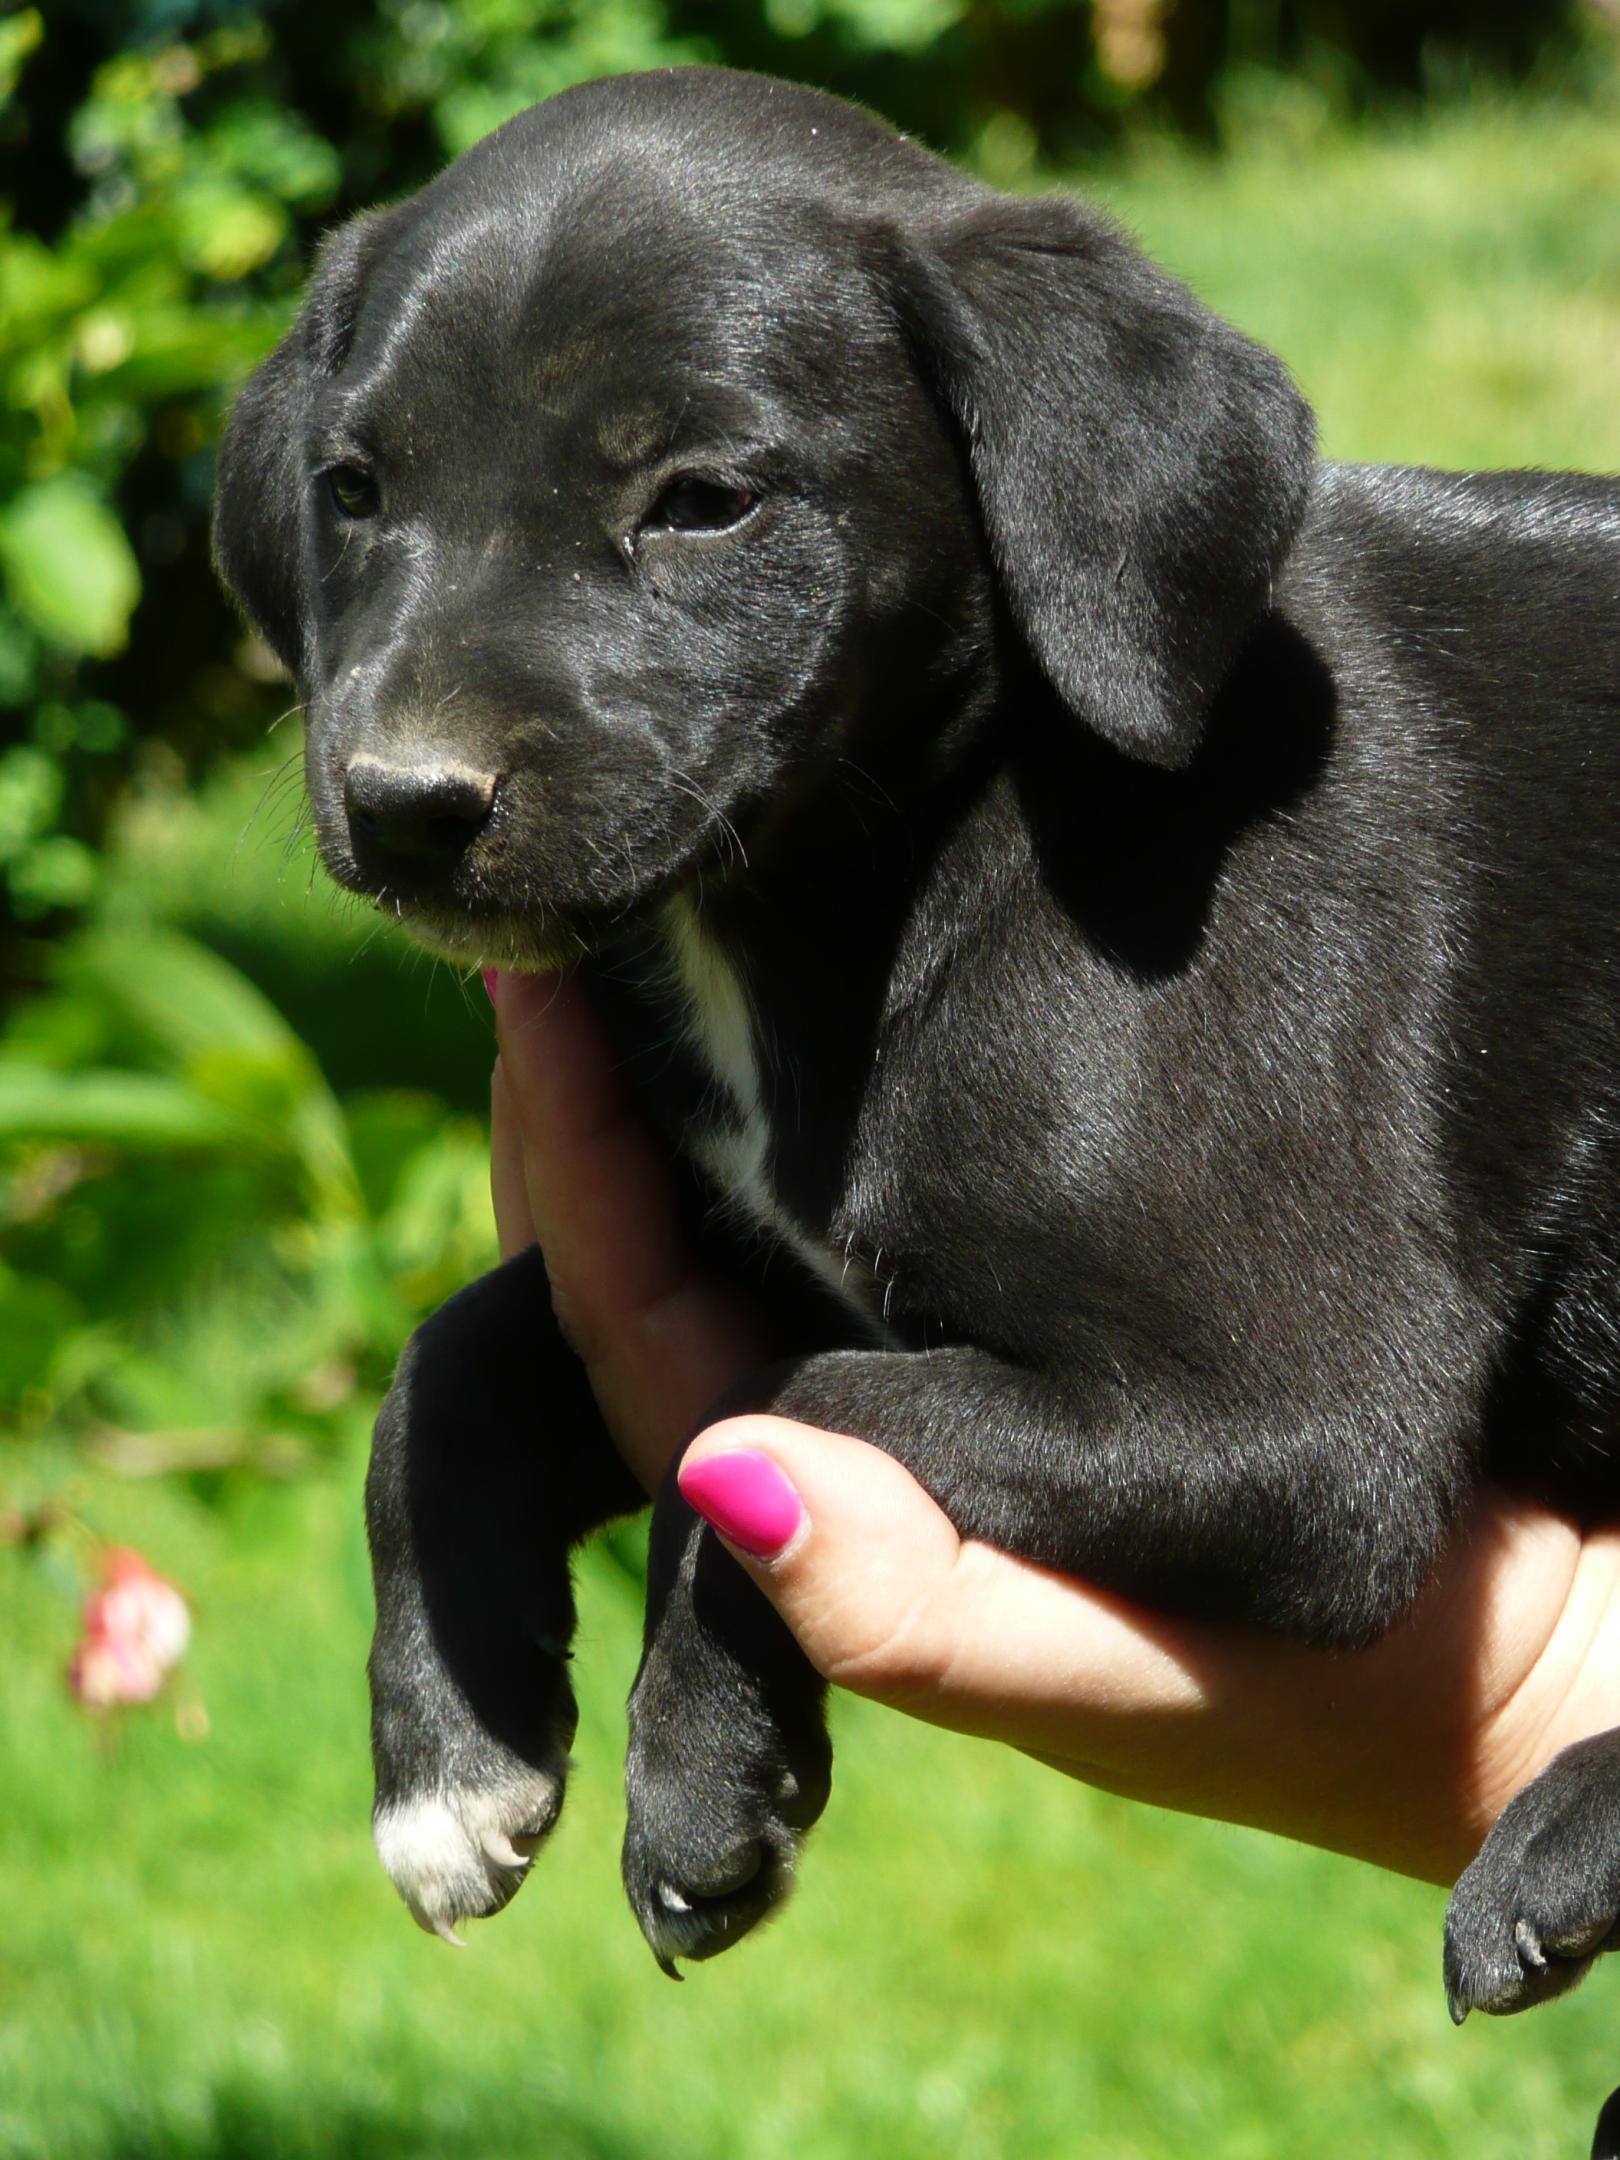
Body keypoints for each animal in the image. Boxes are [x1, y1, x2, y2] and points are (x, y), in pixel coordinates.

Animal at [214, 61, 1620, 2052]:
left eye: (703, 502)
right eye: (352, 489)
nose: (404, 804)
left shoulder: (1301, 1425)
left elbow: (780, 1406)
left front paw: (700, 1765)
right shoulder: (731, 1245)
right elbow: (455, 1353)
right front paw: (449, 1754)